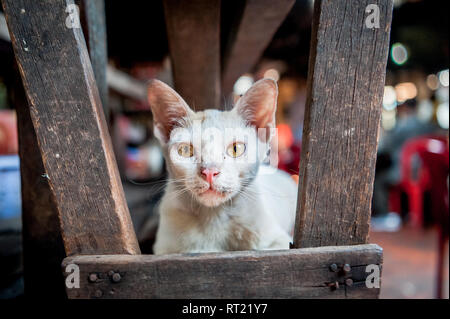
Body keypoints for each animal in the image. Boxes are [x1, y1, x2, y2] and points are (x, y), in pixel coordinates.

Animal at [149, 79, 298, 256]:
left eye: (236, 149)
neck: (213, 218)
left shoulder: (279, 242)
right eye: (185, 150)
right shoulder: (163, 249)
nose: (209, 171)